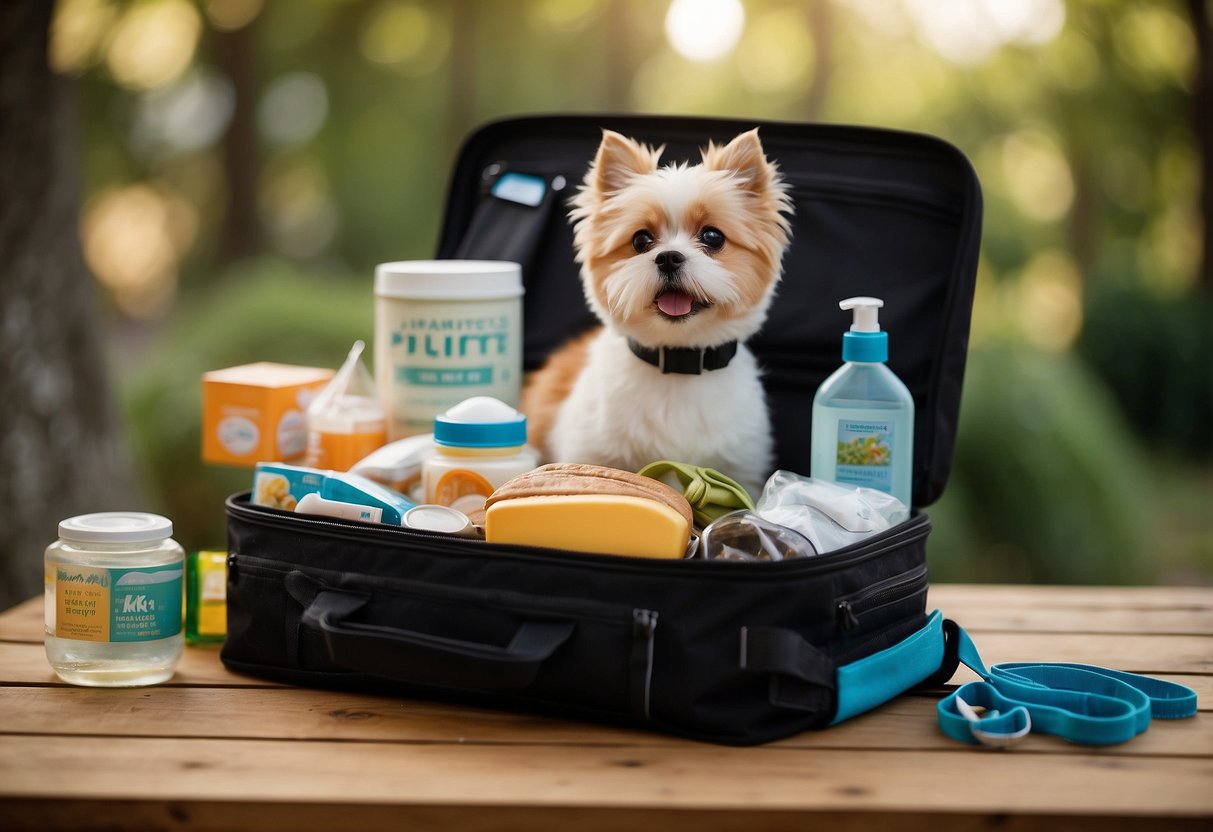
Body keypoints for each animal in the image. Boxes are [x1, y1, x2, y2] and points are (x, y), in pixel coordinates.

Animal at [521, 127, 795, 499]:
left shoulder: (740, 467)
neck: (677, 364)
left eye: (713, 236)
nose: (668, 257)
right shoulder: (591, 452)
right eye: (641, 240)